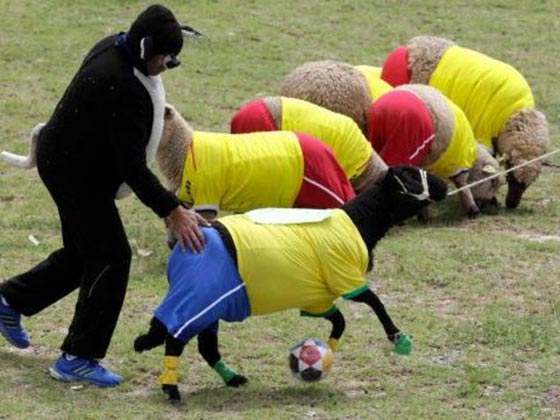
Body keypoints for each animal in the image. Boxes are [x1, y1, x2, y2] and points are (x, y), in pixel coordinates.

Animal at [133, 166, 449, 402]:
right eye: (410, 176)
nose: (444, 185)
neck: (359, 221)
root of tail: (181, 251)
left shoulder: (317, 297)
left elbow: (340, 321)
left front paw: (327, 348)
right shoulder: (345, 277)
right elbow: (375, 302)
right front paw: (399, 339)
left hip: (210, 305)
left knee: (204, 346)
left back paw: (232, 378)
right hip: (199, 299)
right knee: (175, 339)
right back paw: (171, 389)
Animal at [367, 84, 504, 217]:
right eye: (492, 182)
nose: (491, 204)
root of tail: (381, 111)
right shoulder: (457, 163)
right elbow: (462, 185)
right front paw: (472, 209)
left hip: (376, 138)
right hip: (403, 146)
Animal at [381, 35, 550, 208]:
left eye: (530, 183)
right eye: (511, 177)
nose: (511, 204)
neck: (512, 115)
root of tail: (413, 43)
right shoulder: (483, 135)